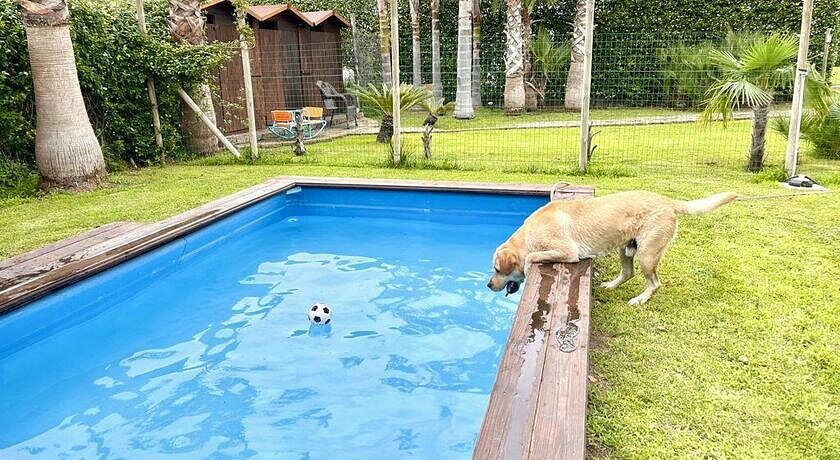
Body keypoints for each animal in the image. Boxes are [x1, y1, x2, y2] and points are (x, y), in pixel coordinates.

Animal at [486, 190, 736, 306]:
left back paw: (640, 299)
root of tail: (666, 200)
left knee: (654, 283)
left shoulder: (567, 251)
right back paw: (612, 285)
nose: (488, 285)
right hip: (626, 249)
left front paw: (529, 268)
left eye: (497, 269)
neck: (528, 234)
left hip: (646, 255)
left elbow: (531, 258)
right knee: (628, 272)